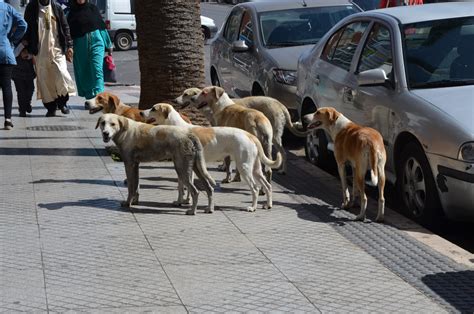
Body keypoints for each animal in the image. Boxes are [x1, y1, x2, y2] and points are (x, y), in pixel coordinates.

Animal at [141, 102, 282, 211]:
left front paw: (183, 201)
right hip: (255, 168)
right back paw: (268, 205)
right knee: (267, 186)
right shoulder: (188, 166)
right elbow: (184, 186)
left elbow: (182, 186)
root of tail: (250, 135)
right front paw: (184, 201)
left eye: (153, 108)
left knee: (255, 188)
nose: (141, 112)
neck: (177, 127)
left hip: (244, 167)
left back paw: (252, 207)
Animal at [176, 87, 310, 174]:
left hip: (274, 137)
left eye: (186, 94)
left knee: (282, 153)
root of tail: (281, 104)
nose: (175, 101)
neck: (223, 105)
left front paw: (224, 167)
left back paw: (281, 171)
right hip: (270, 140)